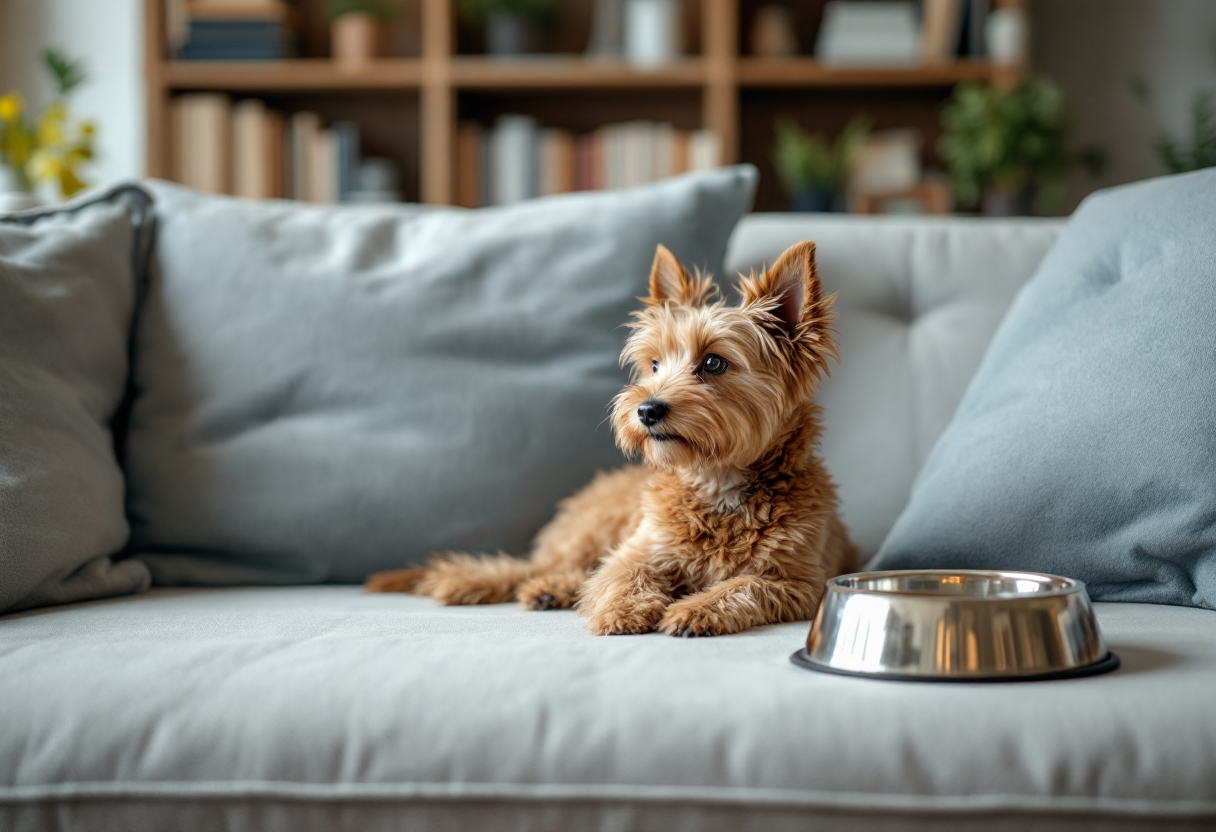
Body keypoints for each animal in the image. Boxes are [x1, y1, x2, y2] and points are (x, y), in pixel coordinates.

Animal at [364, 240, 860, 637]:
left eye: (714, 363)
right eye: (654, 364)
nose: (646, 410)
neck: (717, 485)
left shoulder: (798, 582)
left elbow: (744, 585)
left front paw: (694, 610)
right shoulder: (639, 550)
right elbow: (621, 575)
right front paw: (622, 611)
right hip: (591, 534)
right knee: (548, 567)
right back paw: (489, 582)